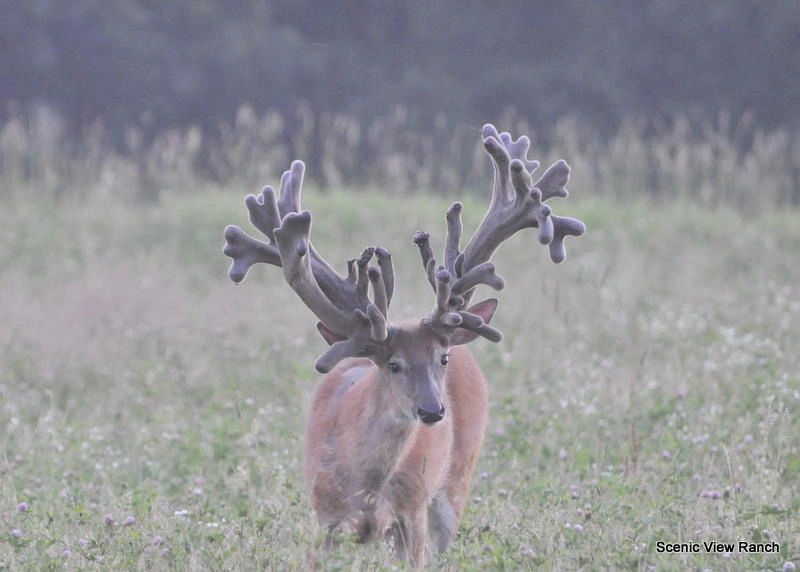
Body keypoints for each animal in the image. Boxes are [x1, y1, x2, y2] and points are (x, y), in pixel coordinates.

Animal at [222, 123, 586, 567]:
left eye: (442, 358)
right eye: (393, 364)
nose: (433, 411)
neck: (367, 486)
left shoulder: (411, 511)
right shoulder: (324, 515)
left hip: (455, 481)